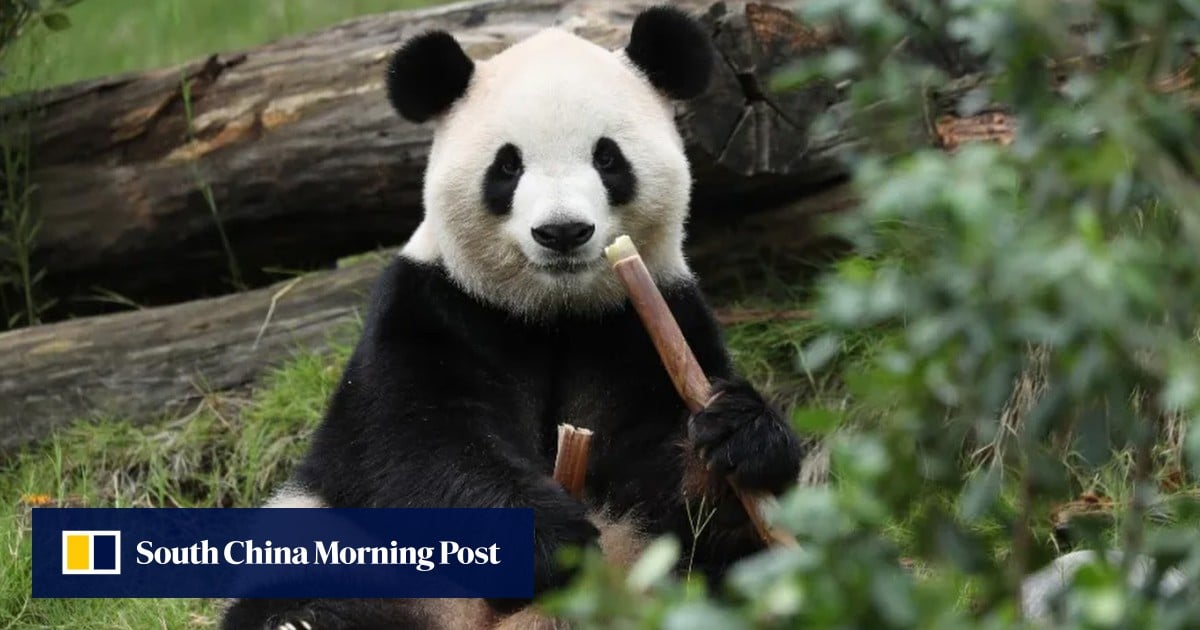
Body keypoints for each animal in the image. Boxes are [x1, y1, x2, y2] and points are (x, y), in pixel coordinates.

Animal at [222, 6, 804, 629]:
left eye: (607, 158)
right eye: (507, 166)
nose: (562, 232)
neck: (554, 313)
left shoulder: (645, 322)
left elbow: (671, 490)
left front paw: (739, 434)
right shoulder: (433, 309)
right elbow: (418, 444)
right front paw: (548, 541)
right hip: (337, 544)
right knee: (302, 591)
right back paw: (309, 618)